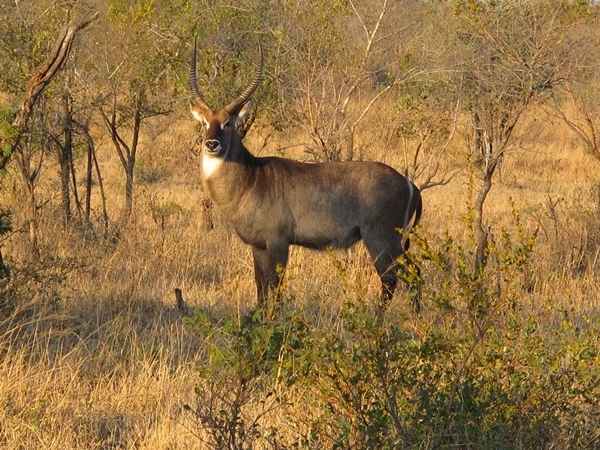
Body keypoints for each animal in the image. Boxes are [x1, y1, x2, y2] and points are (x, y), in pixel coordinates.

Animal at [190, 40, 424, 312]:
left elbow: (275, 287)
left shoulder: (279, 242)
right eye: (204, 123)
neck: (251, 177)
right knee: (413, 273)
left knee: (392, 278)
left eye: (228, 123)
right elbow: (261, 288)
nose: (211, 144)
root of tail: (409, 183)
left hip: (381, 237)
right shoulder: (258, 246)